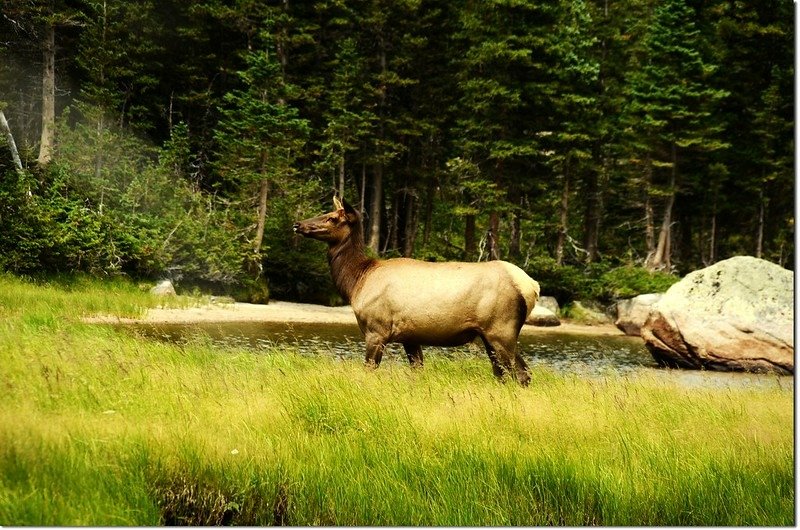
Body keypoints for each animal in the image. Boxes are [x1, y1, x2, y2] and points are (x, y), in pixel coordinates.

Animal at [290, 196, 540, 382]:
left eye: (332, 218)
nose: (297, 224)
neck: (356, 281)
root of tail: (532, 287)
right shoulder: (410, 336)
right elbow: (417, 370)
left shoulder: (376, 330)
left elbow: (369, 370)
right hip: (491, 335)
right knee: (508, 373)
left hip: (501, 329)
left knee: (518, 373)